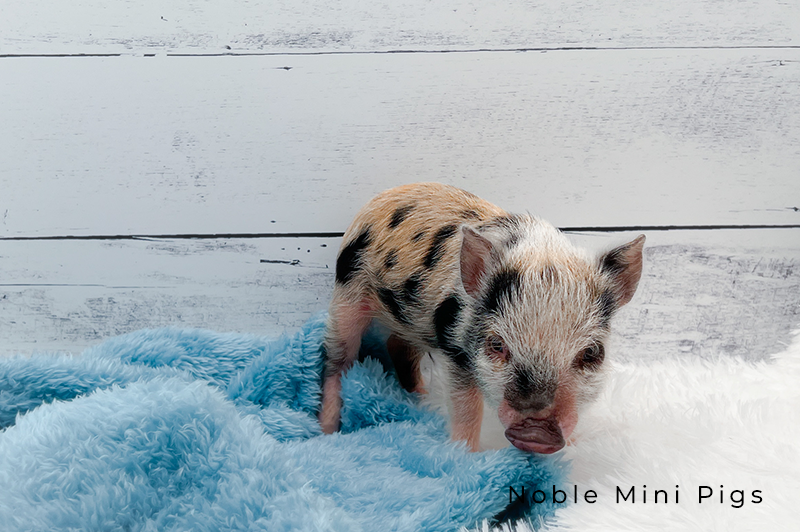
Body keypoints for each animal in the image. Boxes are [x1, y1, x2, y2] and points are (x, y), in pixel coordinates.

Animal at [318, 182, 644, 453]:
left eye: (592, 353)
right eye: (496, 344)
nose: (537, 431)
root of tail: (388, 194)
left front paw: (574, 449)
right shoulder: (457, 349)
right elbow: (467, 408)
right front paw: (465, 457)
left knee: (398, 346)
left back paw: (422, 401)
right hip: (348, 294)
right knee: (336, 361)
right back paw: (327, 432)